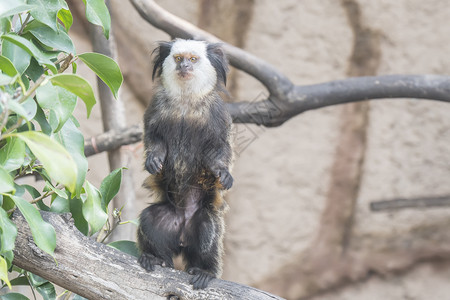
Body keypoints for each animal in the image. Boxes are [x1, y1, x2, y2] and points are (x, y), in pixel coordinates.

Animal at [138, 38, 234, 290]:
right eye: (178, 58)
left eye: (192, 59)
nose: (184, 67)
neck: (185, 102)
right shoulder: (156, 107)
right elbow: (153, 138)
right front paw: (154, 160)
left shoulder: (217, 114)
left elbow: (218, 150)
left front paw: (222, 173)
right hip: (168, 220)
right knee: (149, 219)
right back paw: (155, 257)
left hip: (201, 220)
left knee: (209, 229)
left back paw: (205, 270)